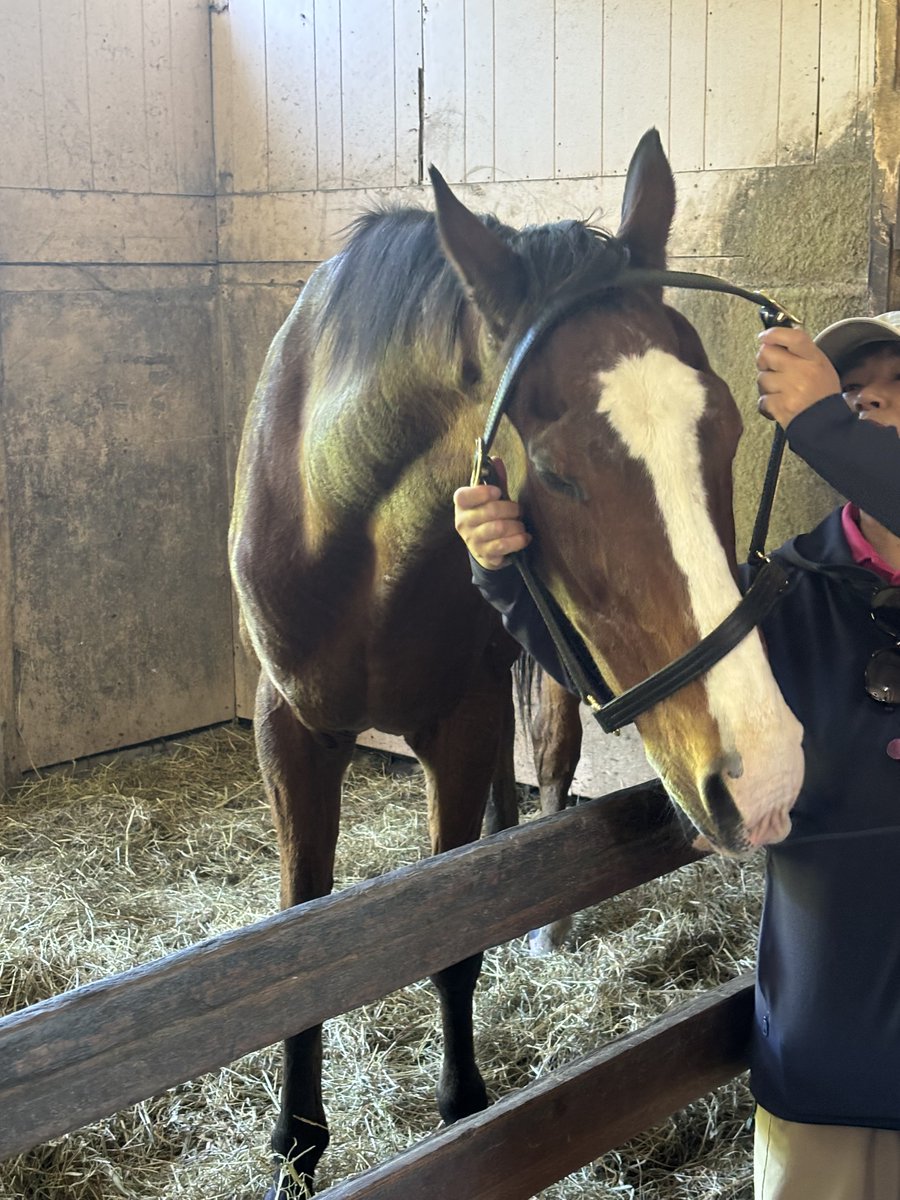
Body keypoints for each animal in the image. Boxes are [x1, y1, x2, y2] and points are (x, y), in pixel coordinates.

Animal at [228, 129, 804, 1198]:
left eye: (725, 427)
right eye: (563, 473)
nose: (767, 777)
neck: (345, 521)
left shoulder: (455, 724)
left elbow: (450, 935)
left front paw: (463, 1111)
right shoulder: (289, 728)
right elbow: (302, 941)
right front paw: (295, 1146)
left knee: (545, 763)